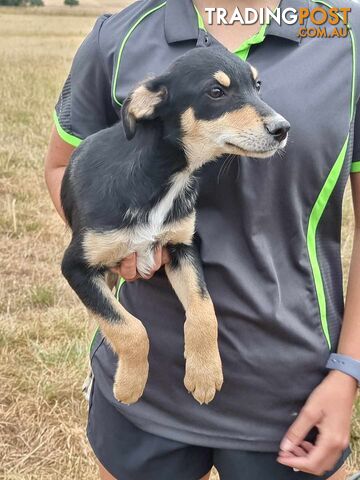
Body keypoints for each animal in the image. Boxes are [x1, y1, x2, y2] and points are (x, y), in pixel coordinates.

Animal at [59, 46, 290, 404]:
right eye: (216, 92)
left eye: (257, 85)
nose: (282, 129)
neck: (164, 175)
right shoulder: (75, 267)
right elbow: (128, 328)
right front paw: (130, 384)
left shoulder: (182, 246)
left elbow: (204, 308)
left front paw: (204, 373)